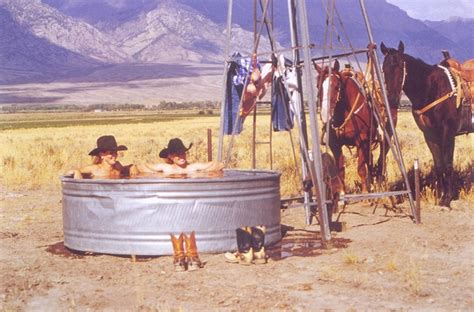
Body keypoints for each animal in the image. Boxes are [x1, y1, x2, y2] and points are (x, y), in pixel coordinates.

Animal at [314, 59, 378, 193]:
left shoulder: (362, 141)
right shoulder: (335, 145)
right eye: (318, 86)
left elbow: (361, 169)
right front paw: (343, 193)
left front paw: (365, 192)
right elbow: (340, 170)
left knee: (369, 161)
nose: (325, 115)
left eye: (336, 86)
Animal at [380, 41, 464, 207]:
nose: (392, 100)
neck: (431, 89)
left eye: (400, 67)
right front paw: (440, 196)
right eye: (384, 68)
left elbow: (448, 165)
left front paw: (447, 198)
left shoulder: (448, 132)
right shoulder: (430, 134)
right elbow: (439, 166)